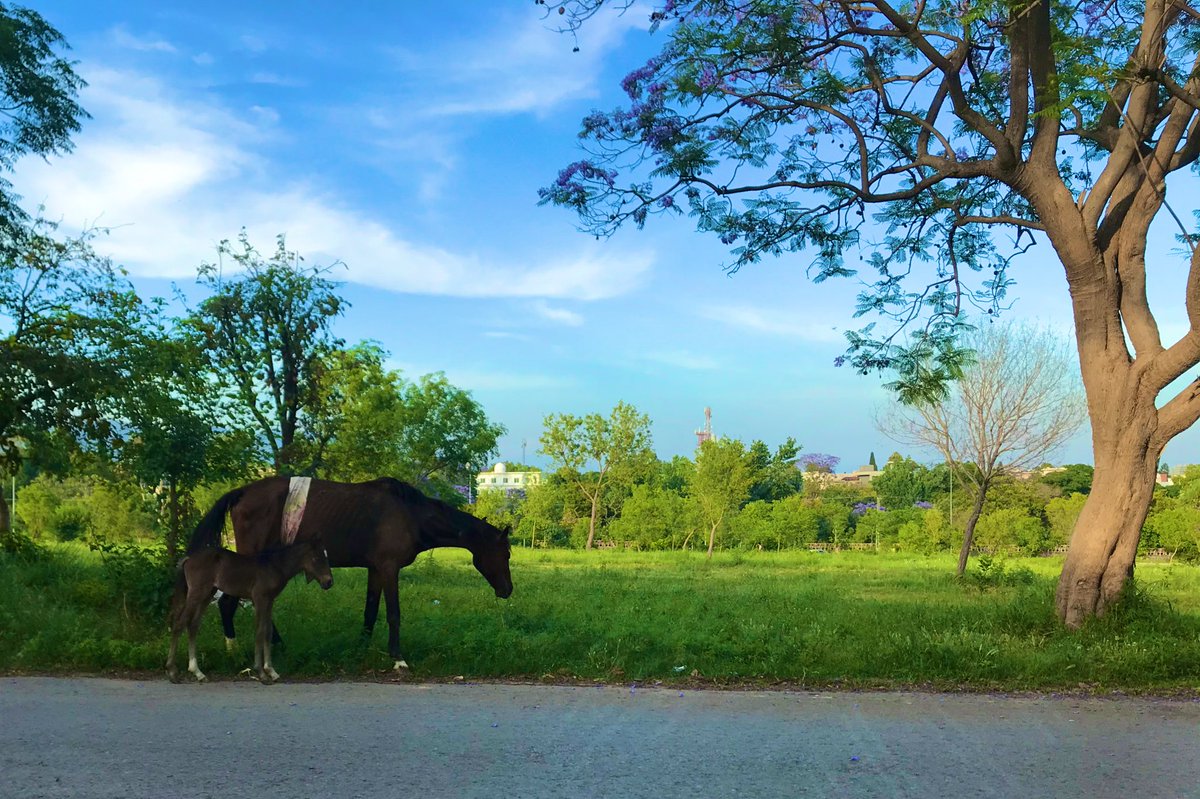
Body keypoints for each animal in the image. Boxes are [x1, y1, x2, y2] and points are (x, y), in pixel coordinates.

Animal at [167, 540, 334, 684]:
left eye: (326, 556)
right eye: (316, 558)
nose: (329, 582)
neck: (275, 566)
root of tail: (188, 558)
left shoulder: (269, 601)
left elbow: (268, 631)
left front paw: (271, 671)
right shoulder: (259, 599)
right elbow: (260, 631)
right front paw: (261, 673)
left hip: (207, 594)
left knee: (193, 625)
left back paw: (198, 672)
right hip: (197, 593)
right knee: (179, 624)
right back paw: (172, 672)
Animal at [186, 476, 513, 671]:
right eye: (506, 554)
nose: (507, 590)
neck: (411, 515)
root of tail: (241, 492)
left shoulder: (376, 568)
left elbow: (370, 610)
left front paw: (362, 647)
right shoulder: (389, 568)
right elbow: (393, 613)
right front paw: (397, 657)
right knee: (229, 603)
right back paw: (236, 651)